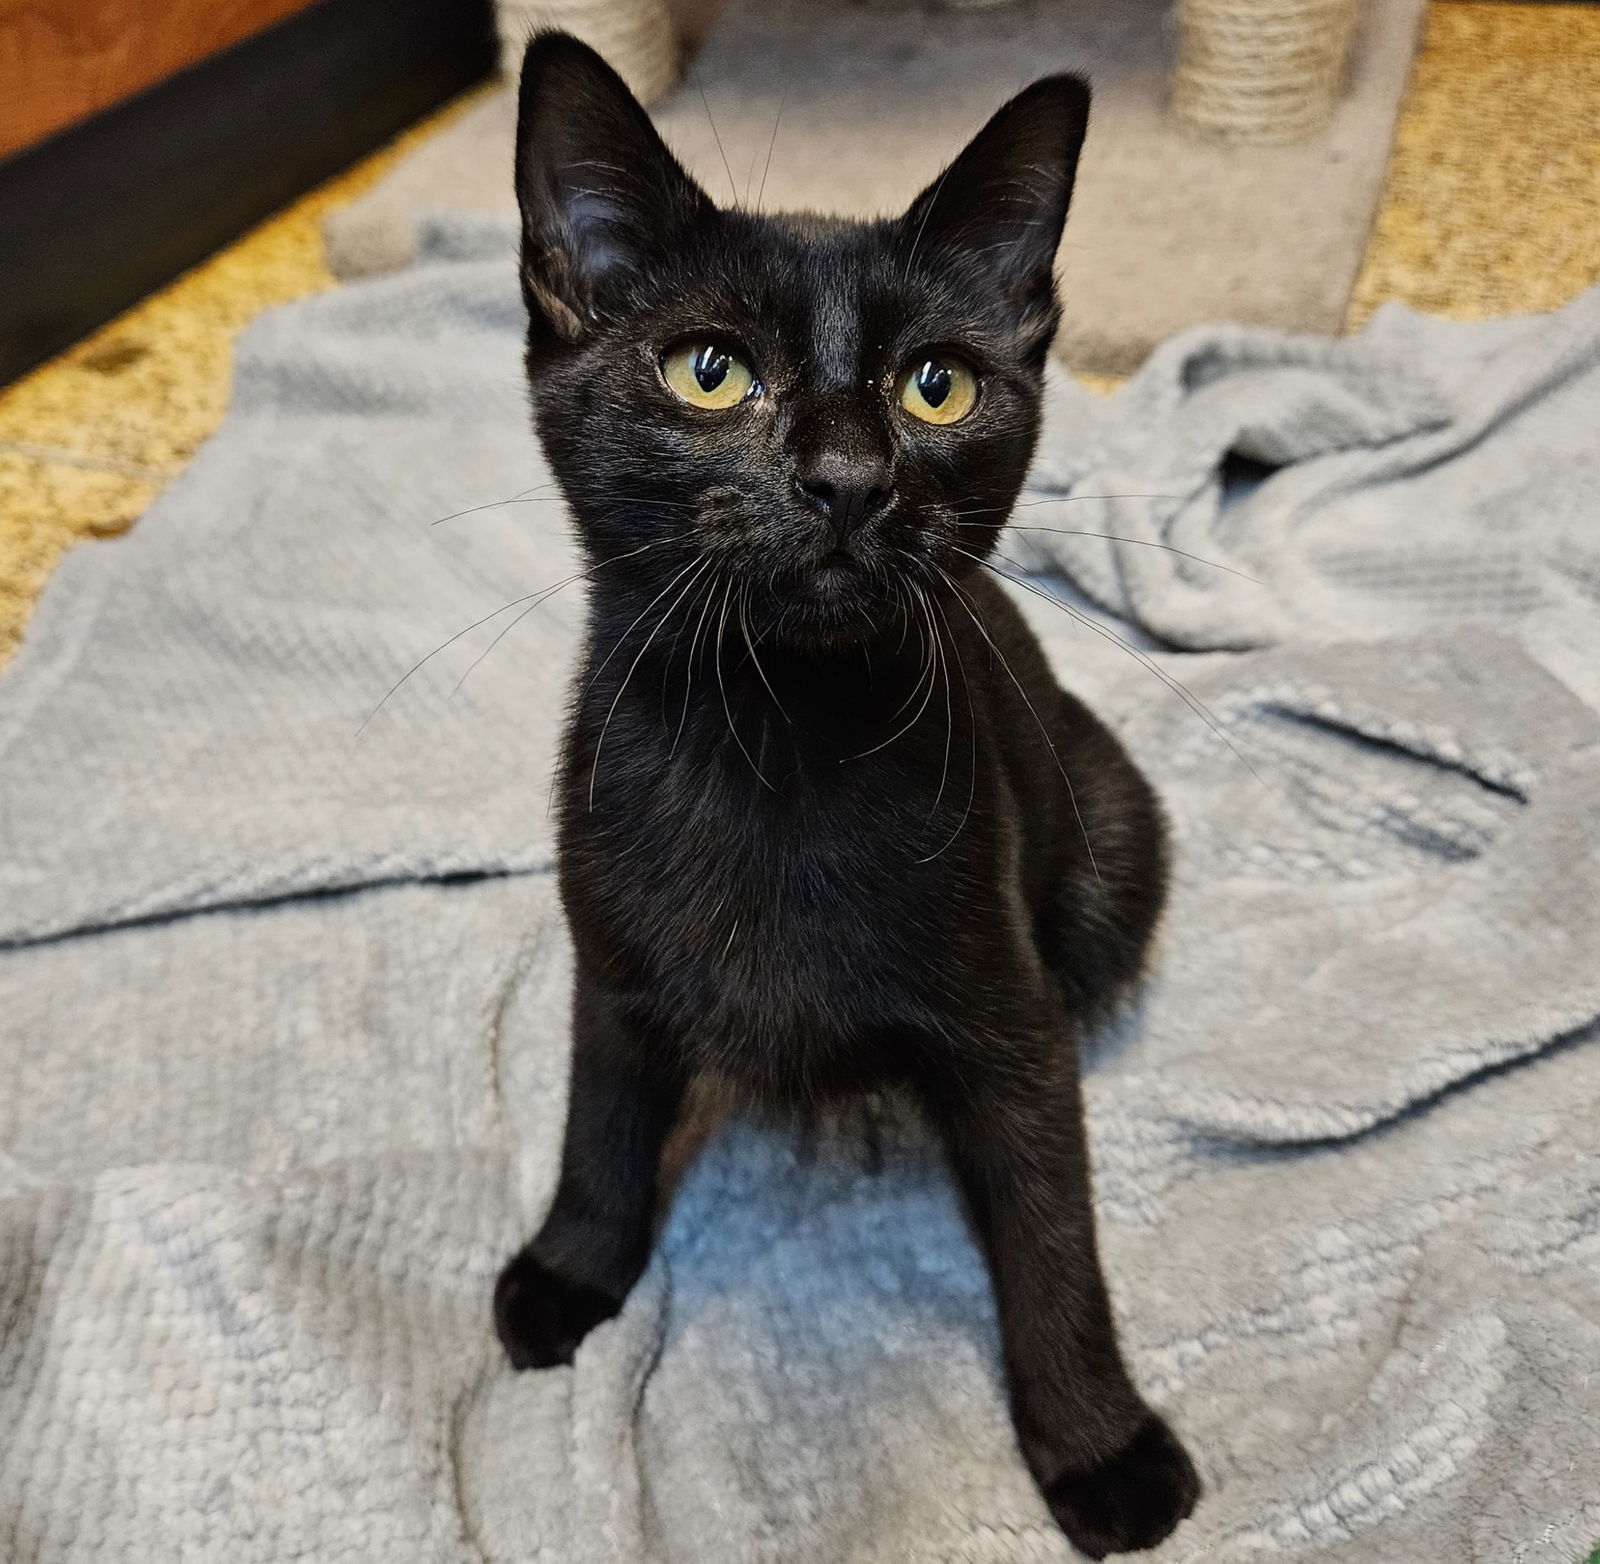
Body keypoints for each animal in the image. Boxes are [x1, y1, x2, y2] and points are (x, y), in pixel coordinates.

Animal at [492, 33, 1203, 1548]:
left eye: (936, 385)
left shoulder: (1010, 1026)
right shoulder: (612, 968)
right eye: (708, 370)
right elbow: (599, 1125)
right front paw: (573, 1269)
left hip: (1113, 829)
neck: (779, 740)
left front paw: (1099, 1447)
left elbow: (1051, 1234)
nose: (846, 477)